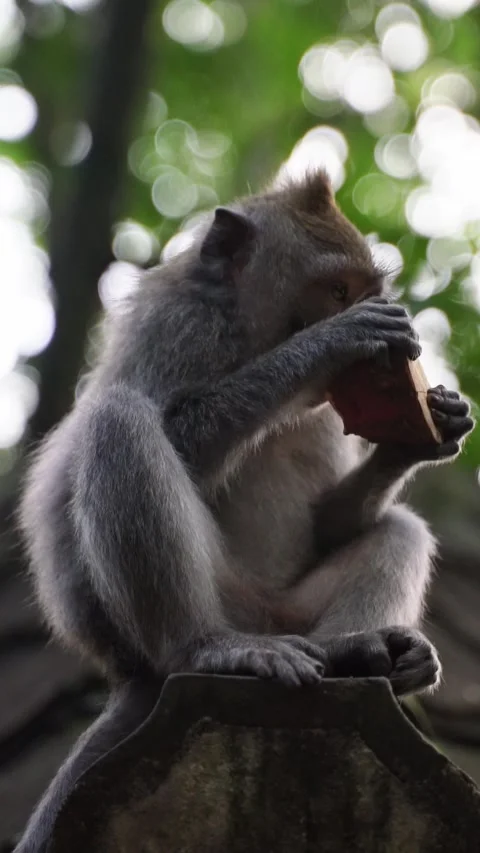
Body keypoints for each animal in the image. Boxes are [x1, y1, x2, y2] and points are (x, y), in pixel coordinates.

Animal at [15, 170, 473, 852]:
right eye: (338, 291)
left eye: (363, 289)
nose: (363, 311)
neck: (247, 333)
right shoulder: (178, 324)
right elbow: (181, 436)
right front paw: (329, 341)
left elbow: (331, 525)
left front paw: (424, 429)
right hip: (199, 607)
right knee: (119, 421)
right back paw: (208, 650)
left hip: (289, 612)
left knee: (398, 530)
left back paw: (361, 654)